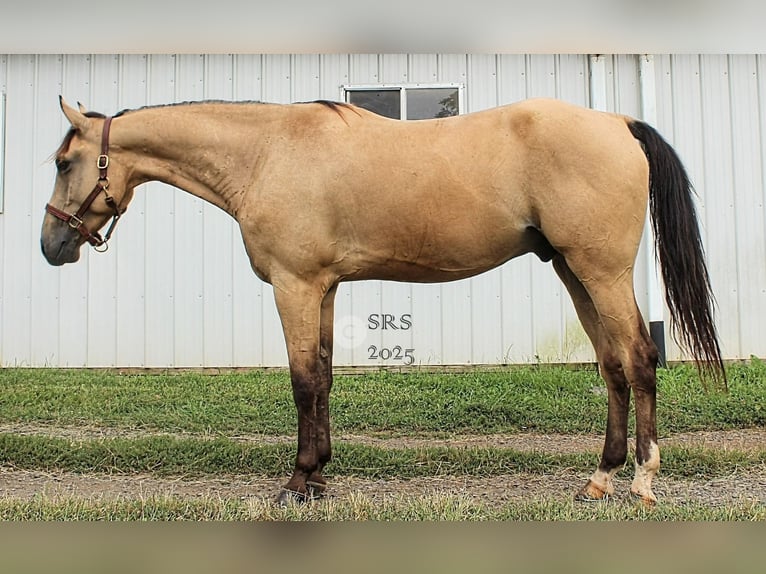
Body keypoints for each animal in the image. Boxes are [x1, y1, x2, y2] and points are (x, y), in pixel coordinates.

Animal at [41, 96, 725, 506]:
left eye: (63, 160)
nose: (51, 245)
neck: (267, 153)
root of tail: (619, 124)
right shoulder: (322, 287)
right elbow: (322, 376)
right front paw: (319, 473)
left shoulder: (295, 284)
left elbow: (302, 381)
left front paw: (298, 481)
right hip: (574, 272)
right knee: (612, 367)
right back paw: (599, 479)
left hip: (600, 272)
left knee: (639, 359)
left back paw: (641, 481)